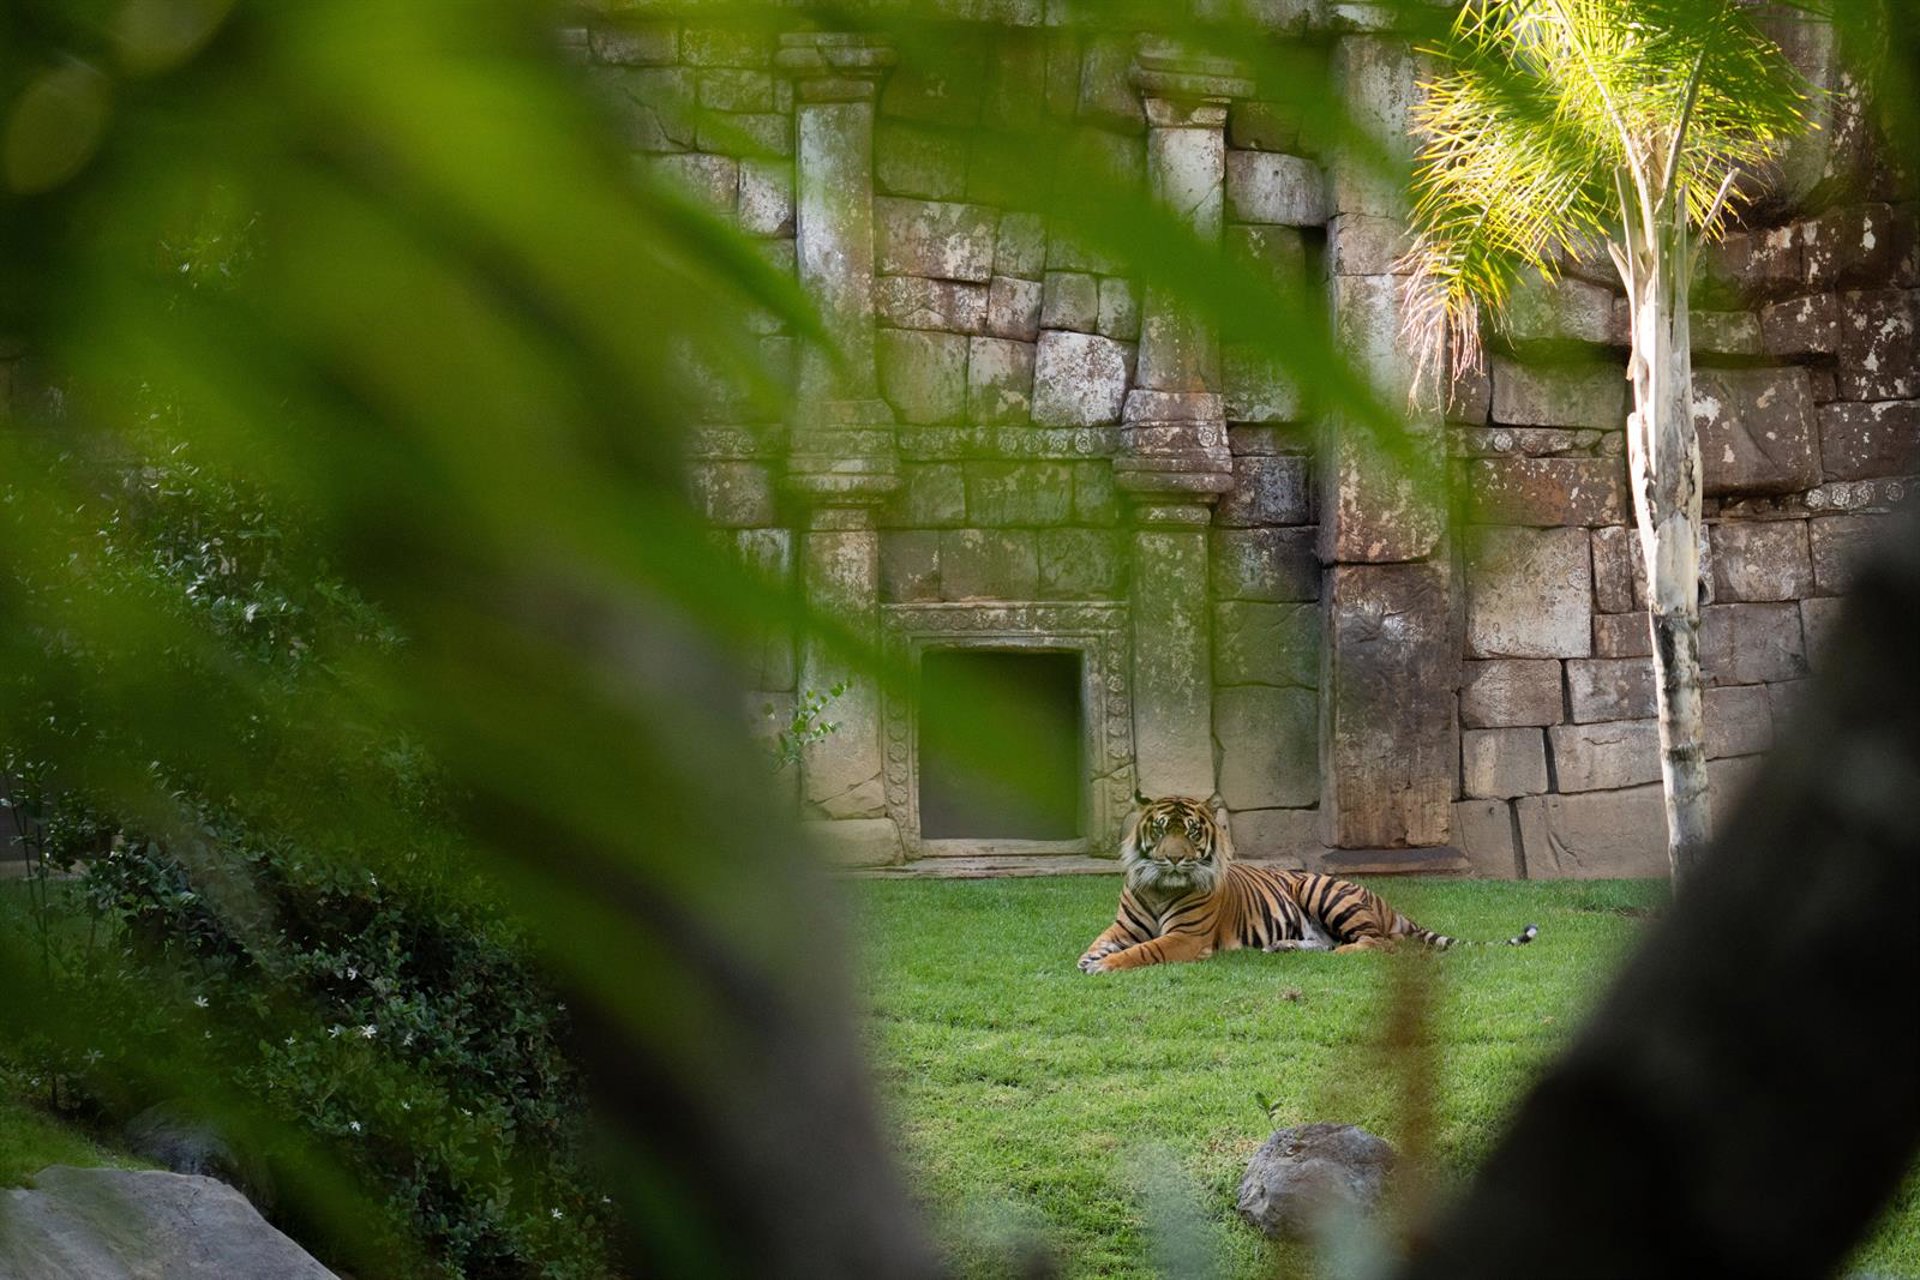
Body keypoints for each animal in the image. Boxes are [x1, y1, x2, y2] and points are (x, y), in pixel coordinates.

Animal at [1077, 794, 1538, 973]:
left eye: (1191, 832)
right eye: (1159, 829)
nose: (1174, 858)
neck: (1160, 886)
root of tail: (1388, 904)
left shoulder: (1186, 938)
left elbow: (1145, 950)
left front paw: (1104, 966)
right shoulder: (1122, 926)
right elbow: (1103, 940)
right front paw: (1090, 958)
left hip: (1323, 892)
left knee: (1378, 944)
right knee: (1326, 943)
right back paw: (1281, 947)